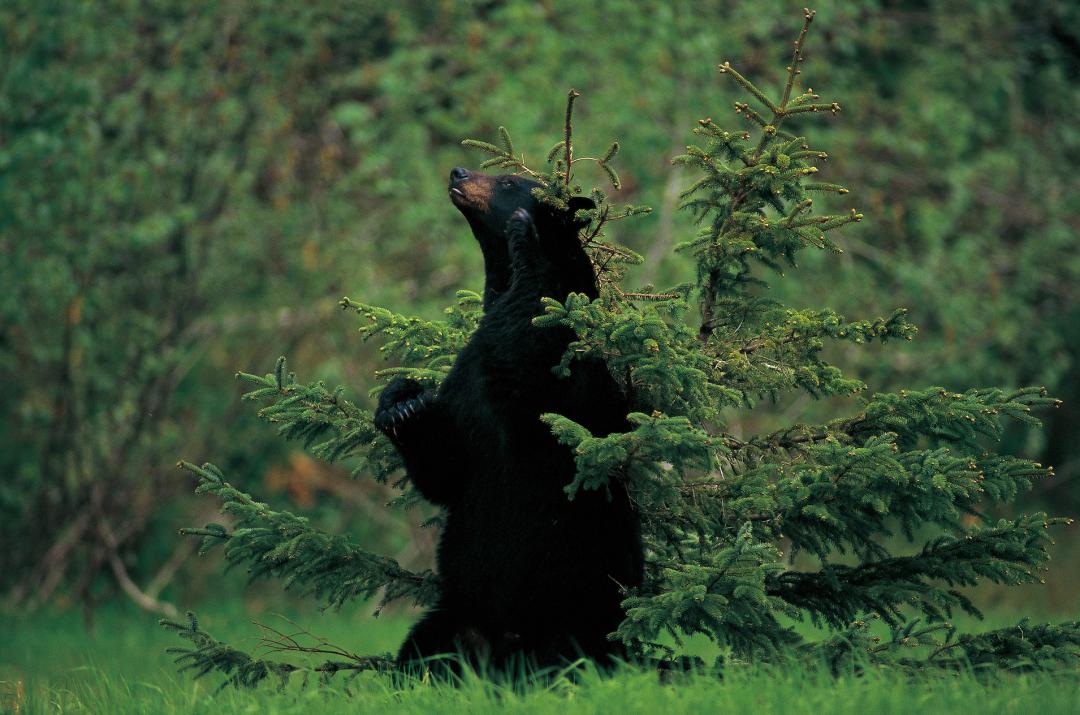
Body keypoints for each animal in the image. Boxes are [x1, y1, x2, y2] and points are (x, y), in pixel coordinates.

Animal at [375, 165, 639, 673]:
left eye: (509, 182)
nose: (458, 170)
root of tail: (507, 653)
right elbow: (447, 467)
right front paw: (402, 403)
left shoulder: (550, 367)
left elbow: (528, 326)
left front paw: (524, 233)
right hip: (456, 612)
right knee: (420, 650)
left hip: (578, 609)